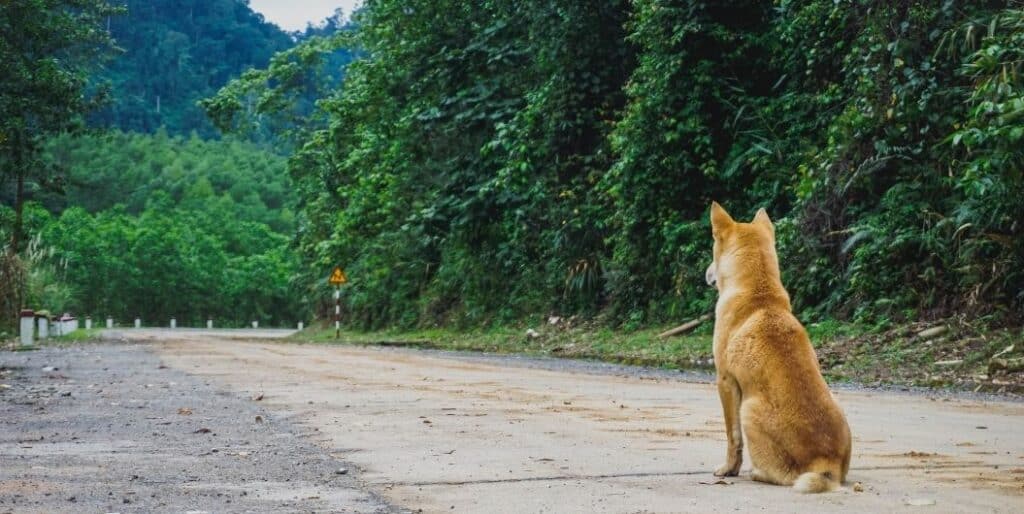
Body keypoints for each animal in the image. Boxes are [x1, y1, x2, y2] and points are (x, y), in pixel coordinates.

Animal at [704, 201, 856, 493]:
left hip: (747, 408)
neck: (760, 294)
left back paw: (756, 473)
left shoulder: (725, 382)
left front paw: (729, 469)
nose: (706, 273)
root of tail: (826, 463)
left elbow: (732, 437)